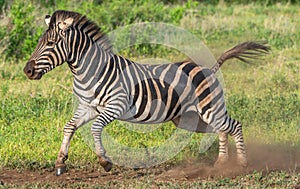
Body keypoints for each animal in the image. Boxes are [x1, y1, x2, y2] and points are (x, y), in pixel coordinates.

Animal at [24, 9, 270, 176]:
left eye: (51, 43)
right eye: (39, 42)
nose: (27, 70)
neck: (91, 71)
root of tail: (209, 68)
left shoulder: (116, 105)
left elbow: (95, 128)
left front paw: (104, 160)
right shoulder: (89, 107)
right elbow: (69, 126)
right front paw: (60, 161)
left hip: (209, 109)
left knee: (234, 126)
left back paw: (241, 164)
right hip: (191, 118)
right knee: (221, 130)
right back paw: (221, 163)